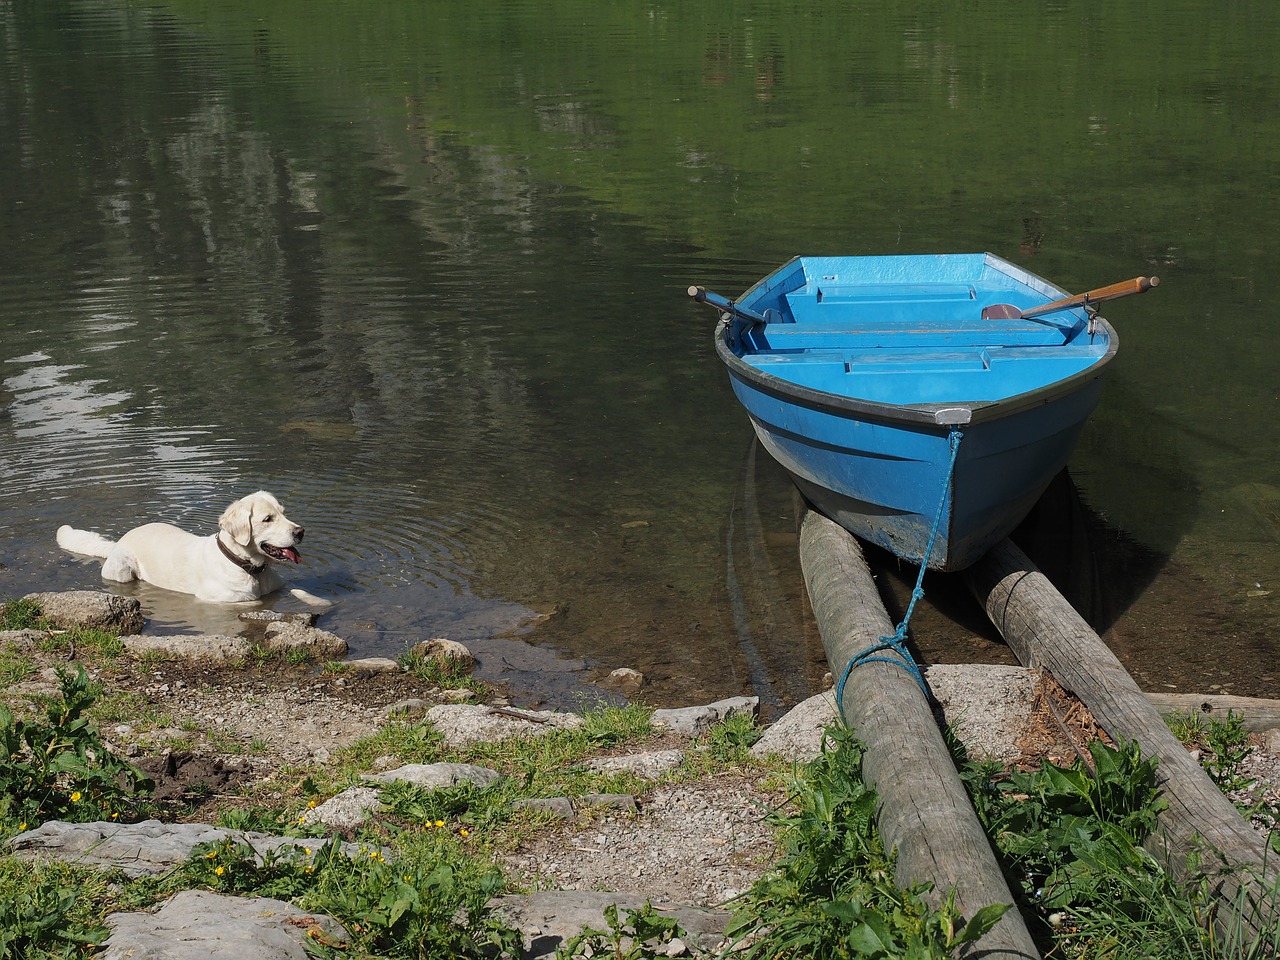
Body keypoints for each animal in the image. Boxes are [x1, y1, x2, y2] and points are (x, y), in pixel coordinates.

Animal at [56, 491, 327, 604]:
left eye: (283, 513)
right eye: (268, 519)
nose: (300, 531)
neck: (250, 568)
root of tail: (118, 542)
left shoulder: (279, 587)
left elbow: (299, 592)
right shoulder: (222, 598)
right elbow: (253, 602)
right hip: (123, 570)